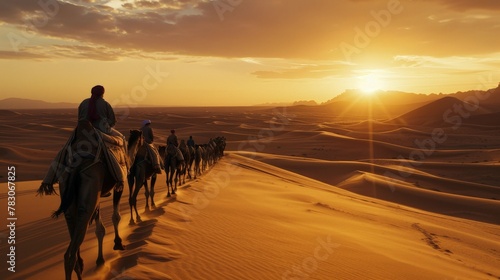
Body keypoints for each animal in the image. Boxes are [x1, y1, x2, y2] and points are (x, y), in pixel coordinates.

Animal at [37, 120, 141, 280]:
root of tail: (76, 161)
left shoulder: (98, 196)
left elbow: (100, 229)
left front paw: (100, 260)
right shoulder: (119, 184)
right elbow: (115, 216)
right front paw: (118, 243)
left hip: (68, 191)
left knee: (73, 234)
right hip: (91, 179)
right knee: (70, 253)